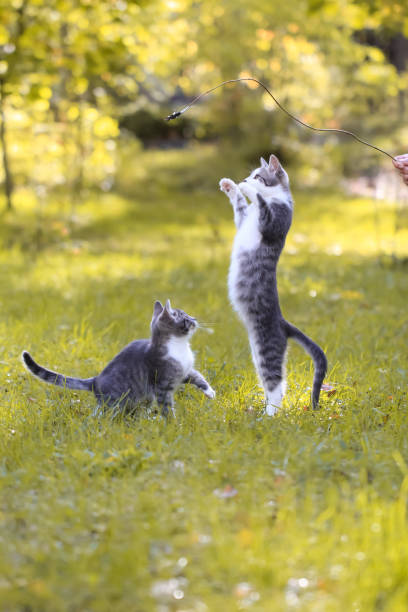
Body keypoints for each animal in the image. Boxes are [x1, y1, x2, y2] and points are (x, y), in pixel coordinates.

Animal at [21, 300, 217, 418]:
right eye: (185, 317)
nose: (194, 318)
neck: (180, 346)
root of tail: (95, 380)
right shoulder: (162, 384)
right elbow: (167, 407)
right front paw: (172, 425)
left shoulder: (185, 371)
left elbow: (198, 376)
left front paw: (209, 391)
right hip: (115, 401)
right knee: (102, 413)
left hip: (143, 397)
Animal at [218, 153, 326, 416]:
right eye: (250, 173)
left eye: (258, 175)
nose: (245, 179)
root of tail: (283, 323)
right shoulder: (243, 219)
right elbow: (240, 207)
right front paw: (231, 186)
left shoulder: (274, 222)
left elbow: (261, 203)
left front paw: (249, 189)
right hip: (257, 354)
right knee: (273, 383)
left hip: (268, 349)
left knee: (277, 384)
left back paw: (268, 417)